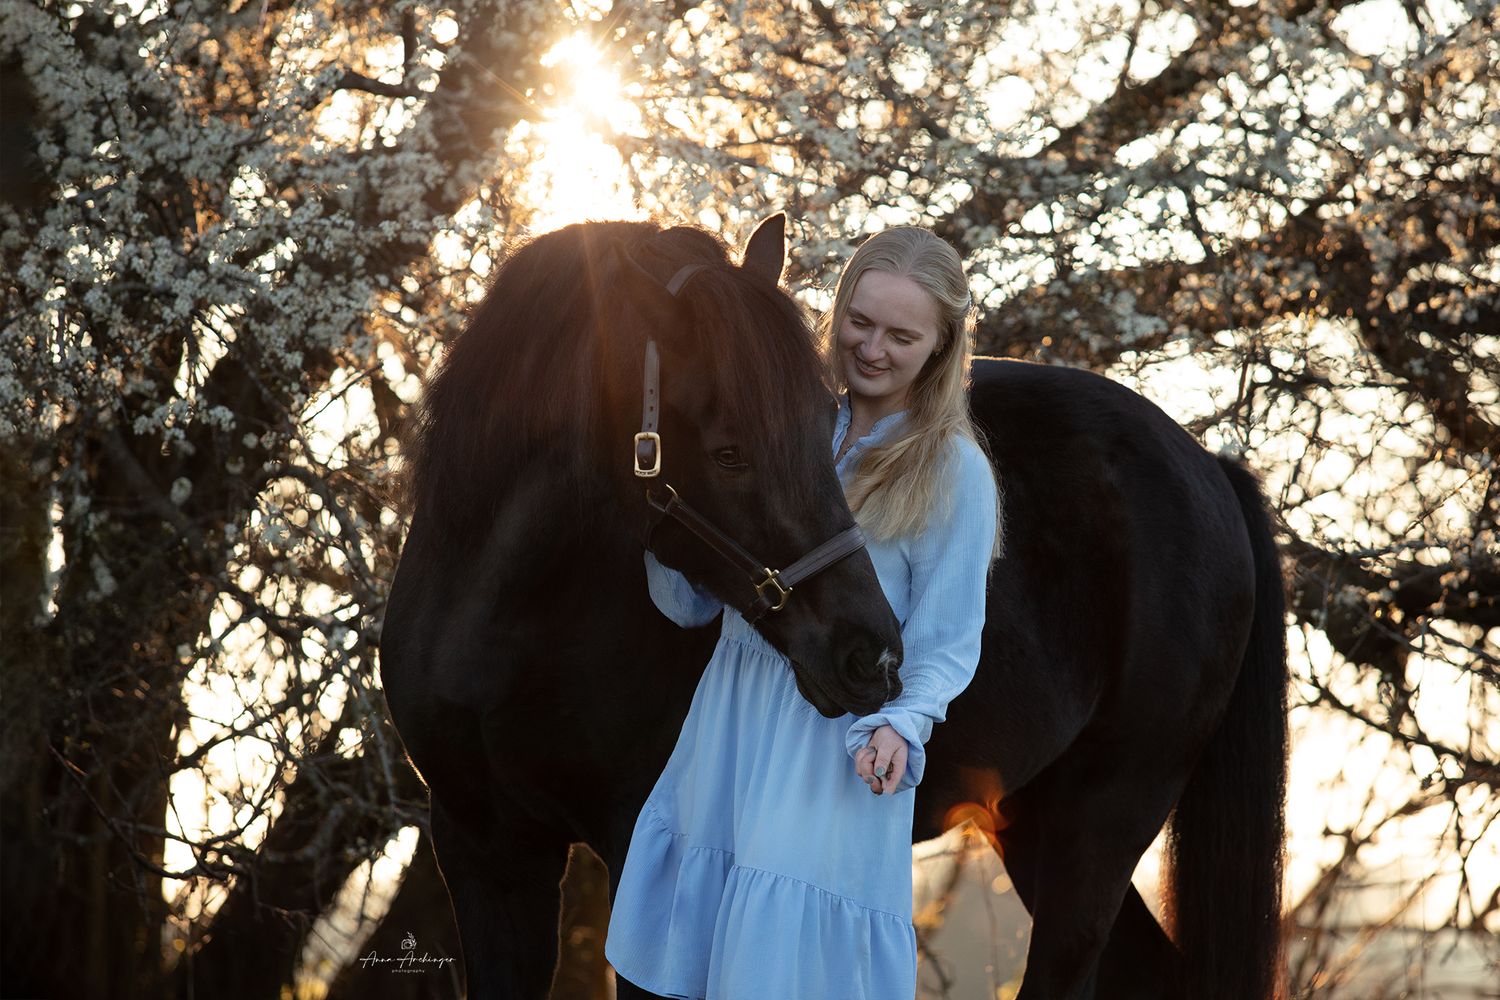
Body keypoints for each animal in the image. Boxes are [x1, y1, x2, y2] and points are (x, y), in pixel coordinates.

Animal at [381, 216, 1288, 1000]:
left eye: (824, 423)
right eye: (729, 452)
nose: (874, 658)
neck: (502, 622)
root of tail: (1211, 468)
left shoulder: (639, 851)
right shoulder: (485, 850)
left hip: (1101, 825)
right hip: (1032, 819)